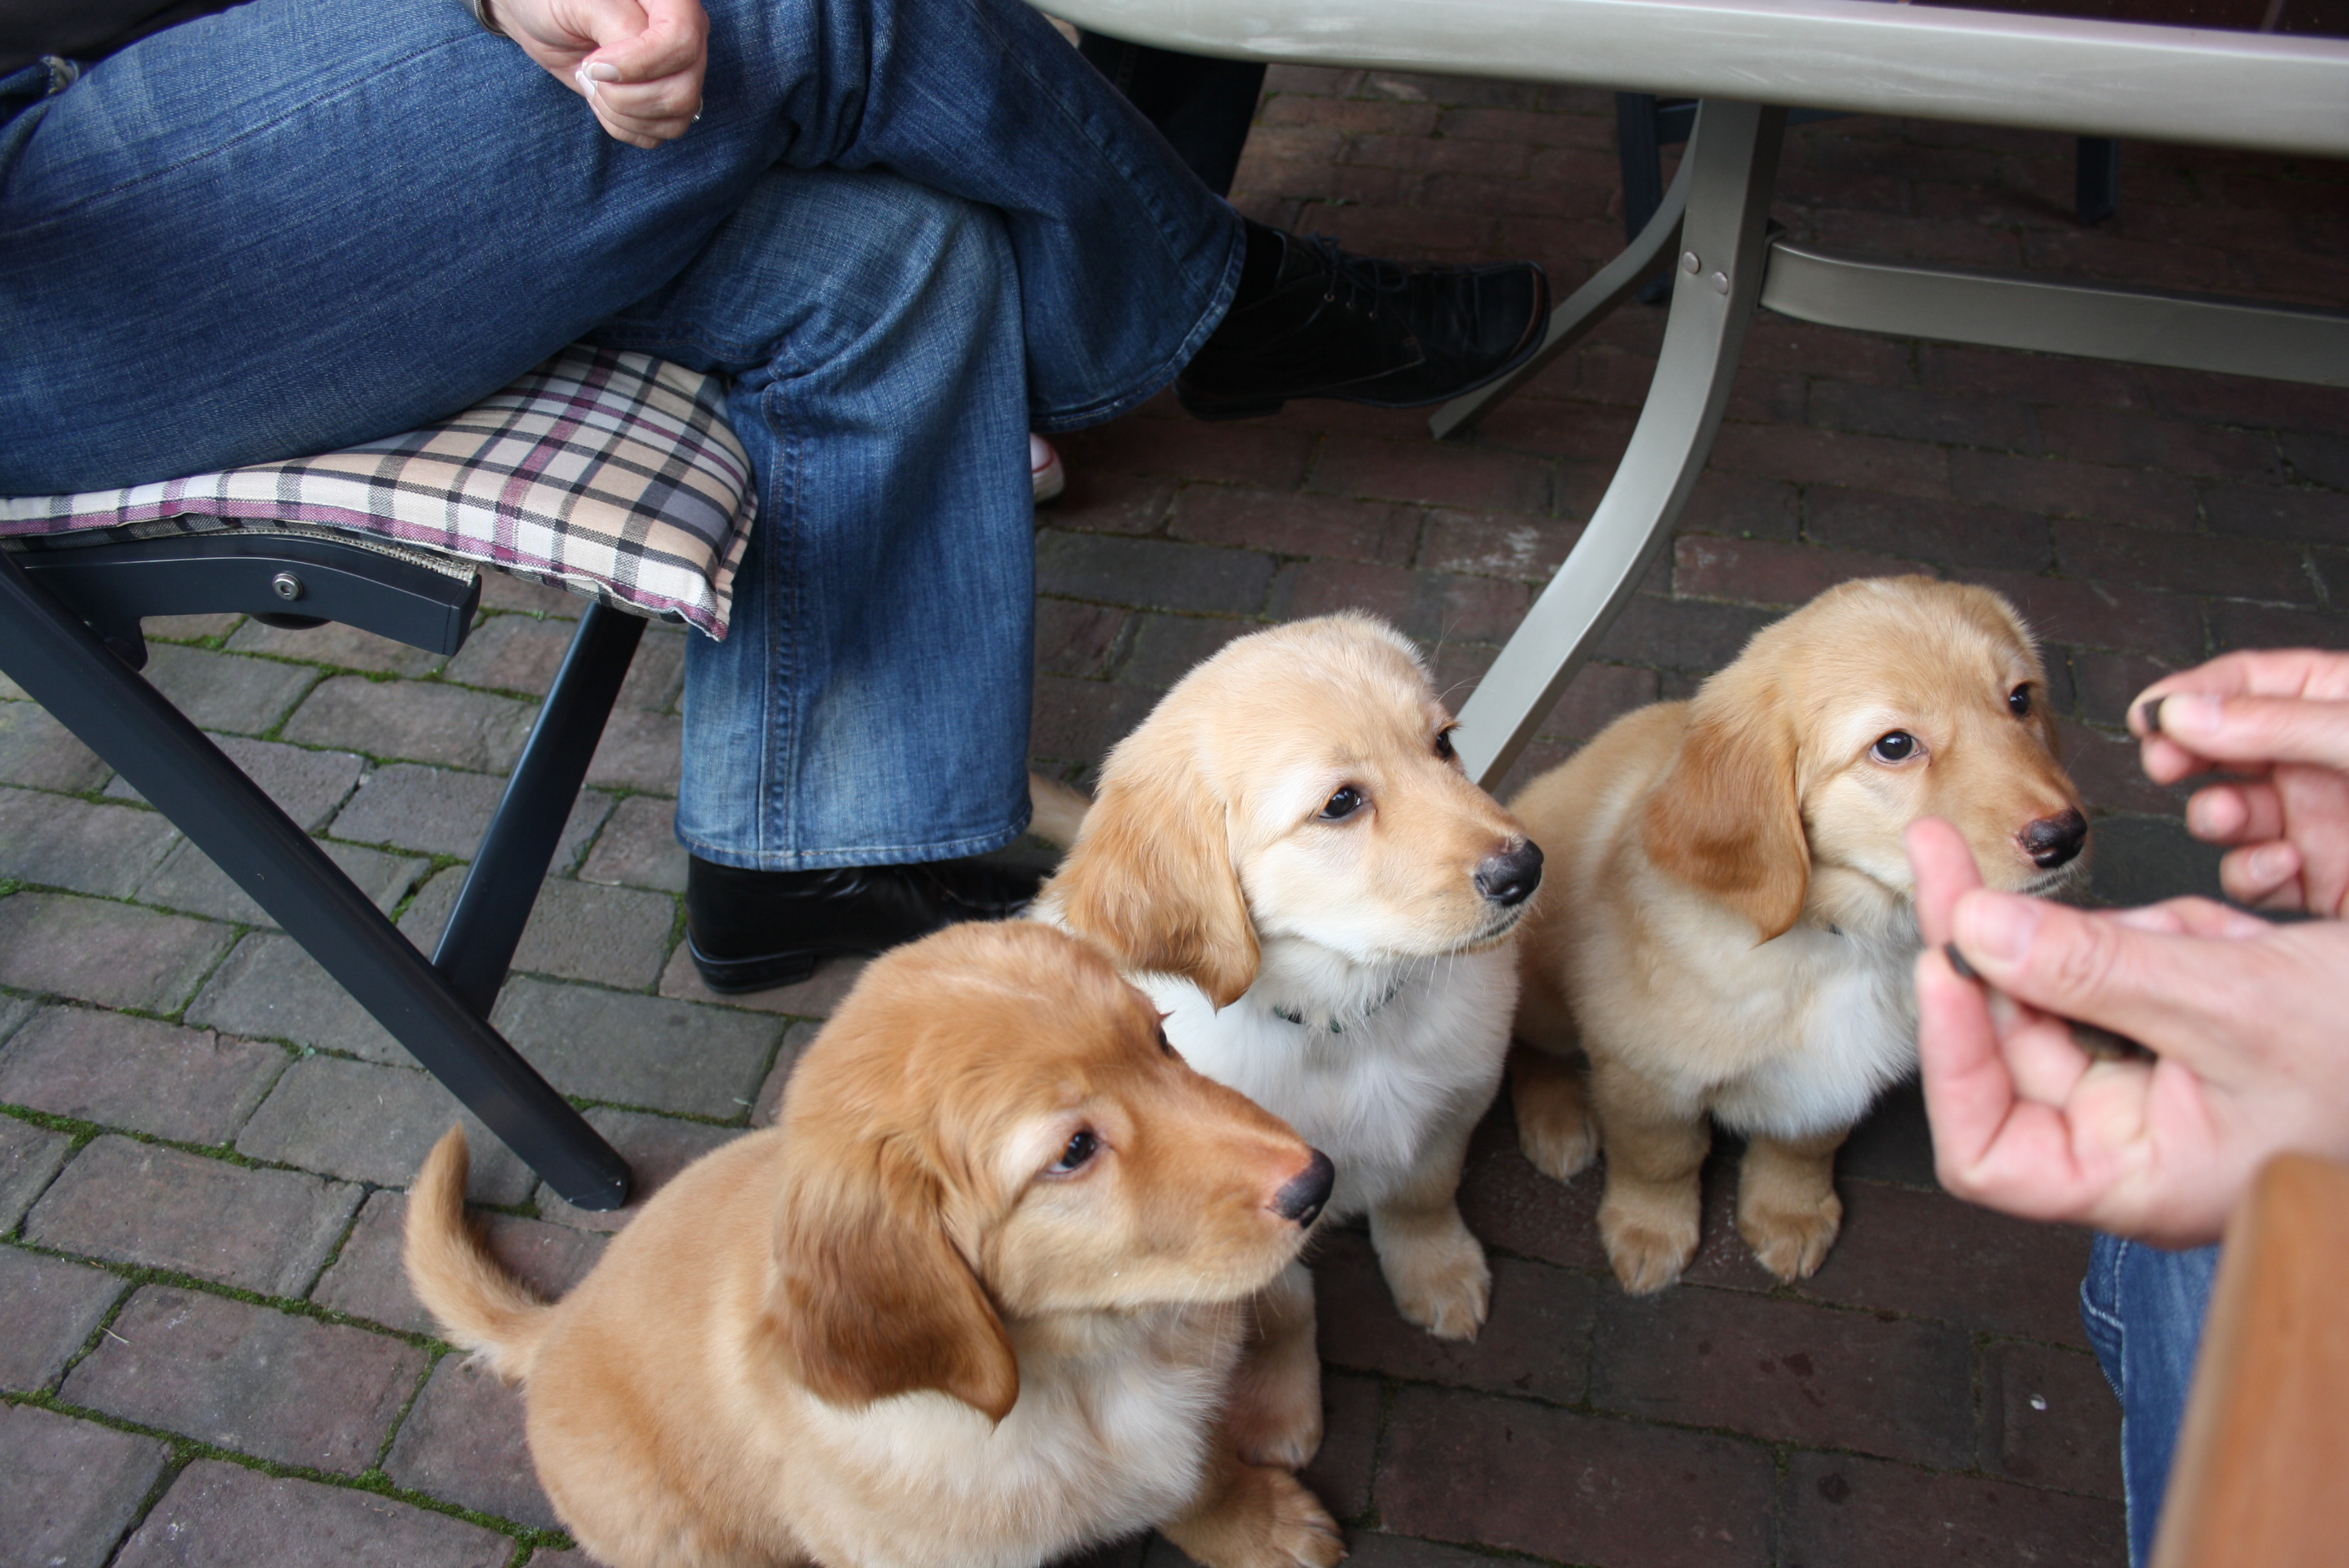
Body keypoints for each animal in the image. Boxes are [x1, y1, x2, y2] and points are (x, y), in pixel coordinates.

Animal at [405, 920, 1345, 1568]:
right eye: (1075, 1149)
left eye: (1160, 1037)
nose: (1318, 1181)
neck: (1091, 1366)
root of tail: (556, 1325)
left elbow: (1194, 1473)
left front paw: (1258, 1525)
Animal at [1029, 611, 1543, 1468]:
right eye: (1340, 804)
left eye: (1442, 744)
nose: (1526, 869)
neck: (1347, 1017)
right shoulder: (1251, 1206)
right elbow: (1282, 1309)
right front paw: (1275, 1412)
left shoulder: (1458, 1095)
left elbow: (1424, 1193)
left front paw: (1436, 1274)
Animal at [1507, 576, 2089, 1294]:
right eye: (1894, 746)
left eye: (2020, 699)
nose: (2066, 837)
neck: (1848, 941)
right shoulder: (1647, 1074)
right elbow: (1661, 1158)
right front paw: (1650, 1231)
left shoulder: (1835, 1073)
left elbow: (1806, 1142)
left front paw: (1791, 1213)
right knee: (1533, 1047)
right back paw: (1557, 1120)